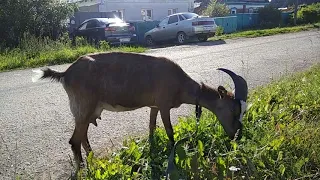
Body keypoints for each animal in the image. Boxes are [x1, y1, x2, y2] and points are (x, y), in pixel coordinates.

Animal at [31, 51, 248, 172]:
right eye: (233, 109)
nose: (238, 134)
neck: (180, 83)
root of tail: (66, 73)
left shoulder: (153, 106)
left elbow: (151, 127)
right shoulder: (164, 105)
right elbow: (169, 131)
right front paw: (173, 152)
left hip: (86, 111)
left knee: (83, 137)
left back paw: (93, 160)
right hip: (84, 107)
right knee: (74, 140)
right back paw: (85, 170)